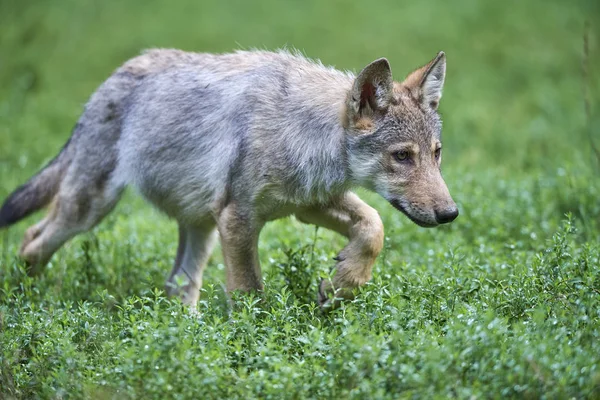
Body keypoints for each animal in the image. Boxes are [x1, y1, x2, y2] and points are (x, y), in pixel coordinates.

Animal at [0, 49, 458, 306]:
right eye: (402, 157)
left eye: (436, 154)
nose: (451, 214)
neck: (302, 130)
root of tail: (110, 79)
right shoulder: (238, 220)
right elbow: (250, 294)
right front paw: (254, 347)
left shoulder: (308, 205)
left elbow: (374, 227)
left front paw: (344, 284)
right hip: (90, 209)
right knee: (31, 240)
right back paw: (29, 304)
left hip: (199, 230)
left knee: (178, 288)